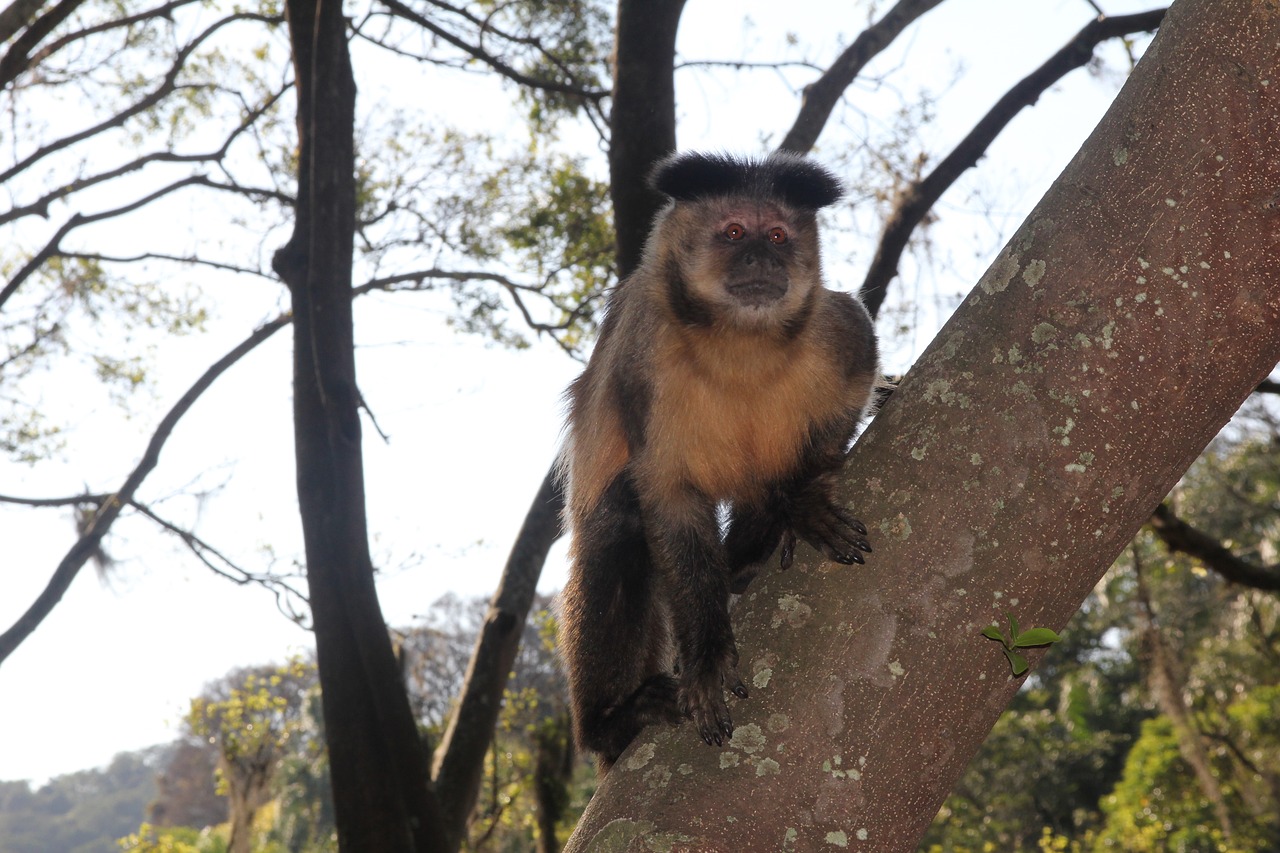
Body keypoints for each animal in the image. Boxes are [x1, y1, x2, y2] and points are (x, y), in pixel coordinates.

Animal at [560, 149, 880, 768]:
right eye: (734, 232)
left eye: (777, 235)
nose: (761, 256)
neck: (739, 341)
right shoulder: (644, 362)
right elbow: (667, 495)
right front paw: (707, 651)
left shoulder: (833, 330)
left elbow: (854, 382)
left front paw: (801, 501)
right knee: (617, 525)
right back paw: (612, 723)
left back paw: (755, 546)